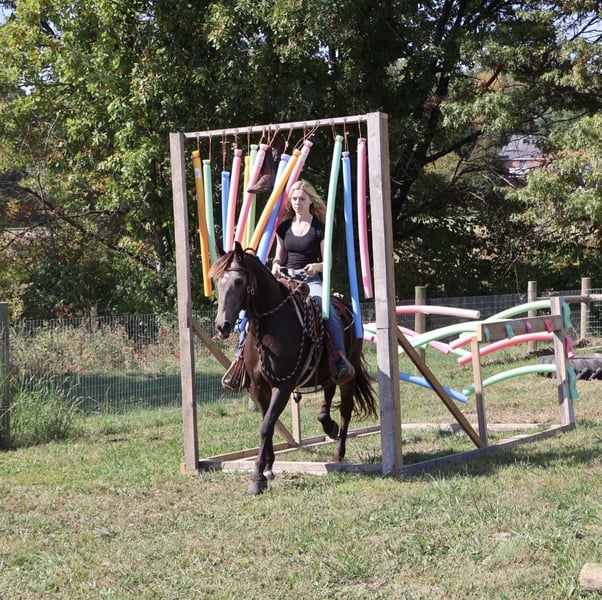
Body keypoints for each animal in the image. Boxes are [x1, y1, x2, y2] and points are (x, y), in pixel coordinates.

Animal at [210, 242, 378, 495]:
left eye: (239, 281)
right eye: (217, 281)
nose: (223, 325)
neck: (269, 326)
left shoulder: (284, 386)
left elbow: (266, 426)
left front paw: (257, 477)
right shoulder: (259, 387)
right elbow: (267, 422)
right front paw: (268, 467)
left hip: (350, 371)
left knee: (346, 409)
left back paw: (338, 453)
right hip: (326, 372)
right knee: (328, 393)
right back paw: (328, 426)